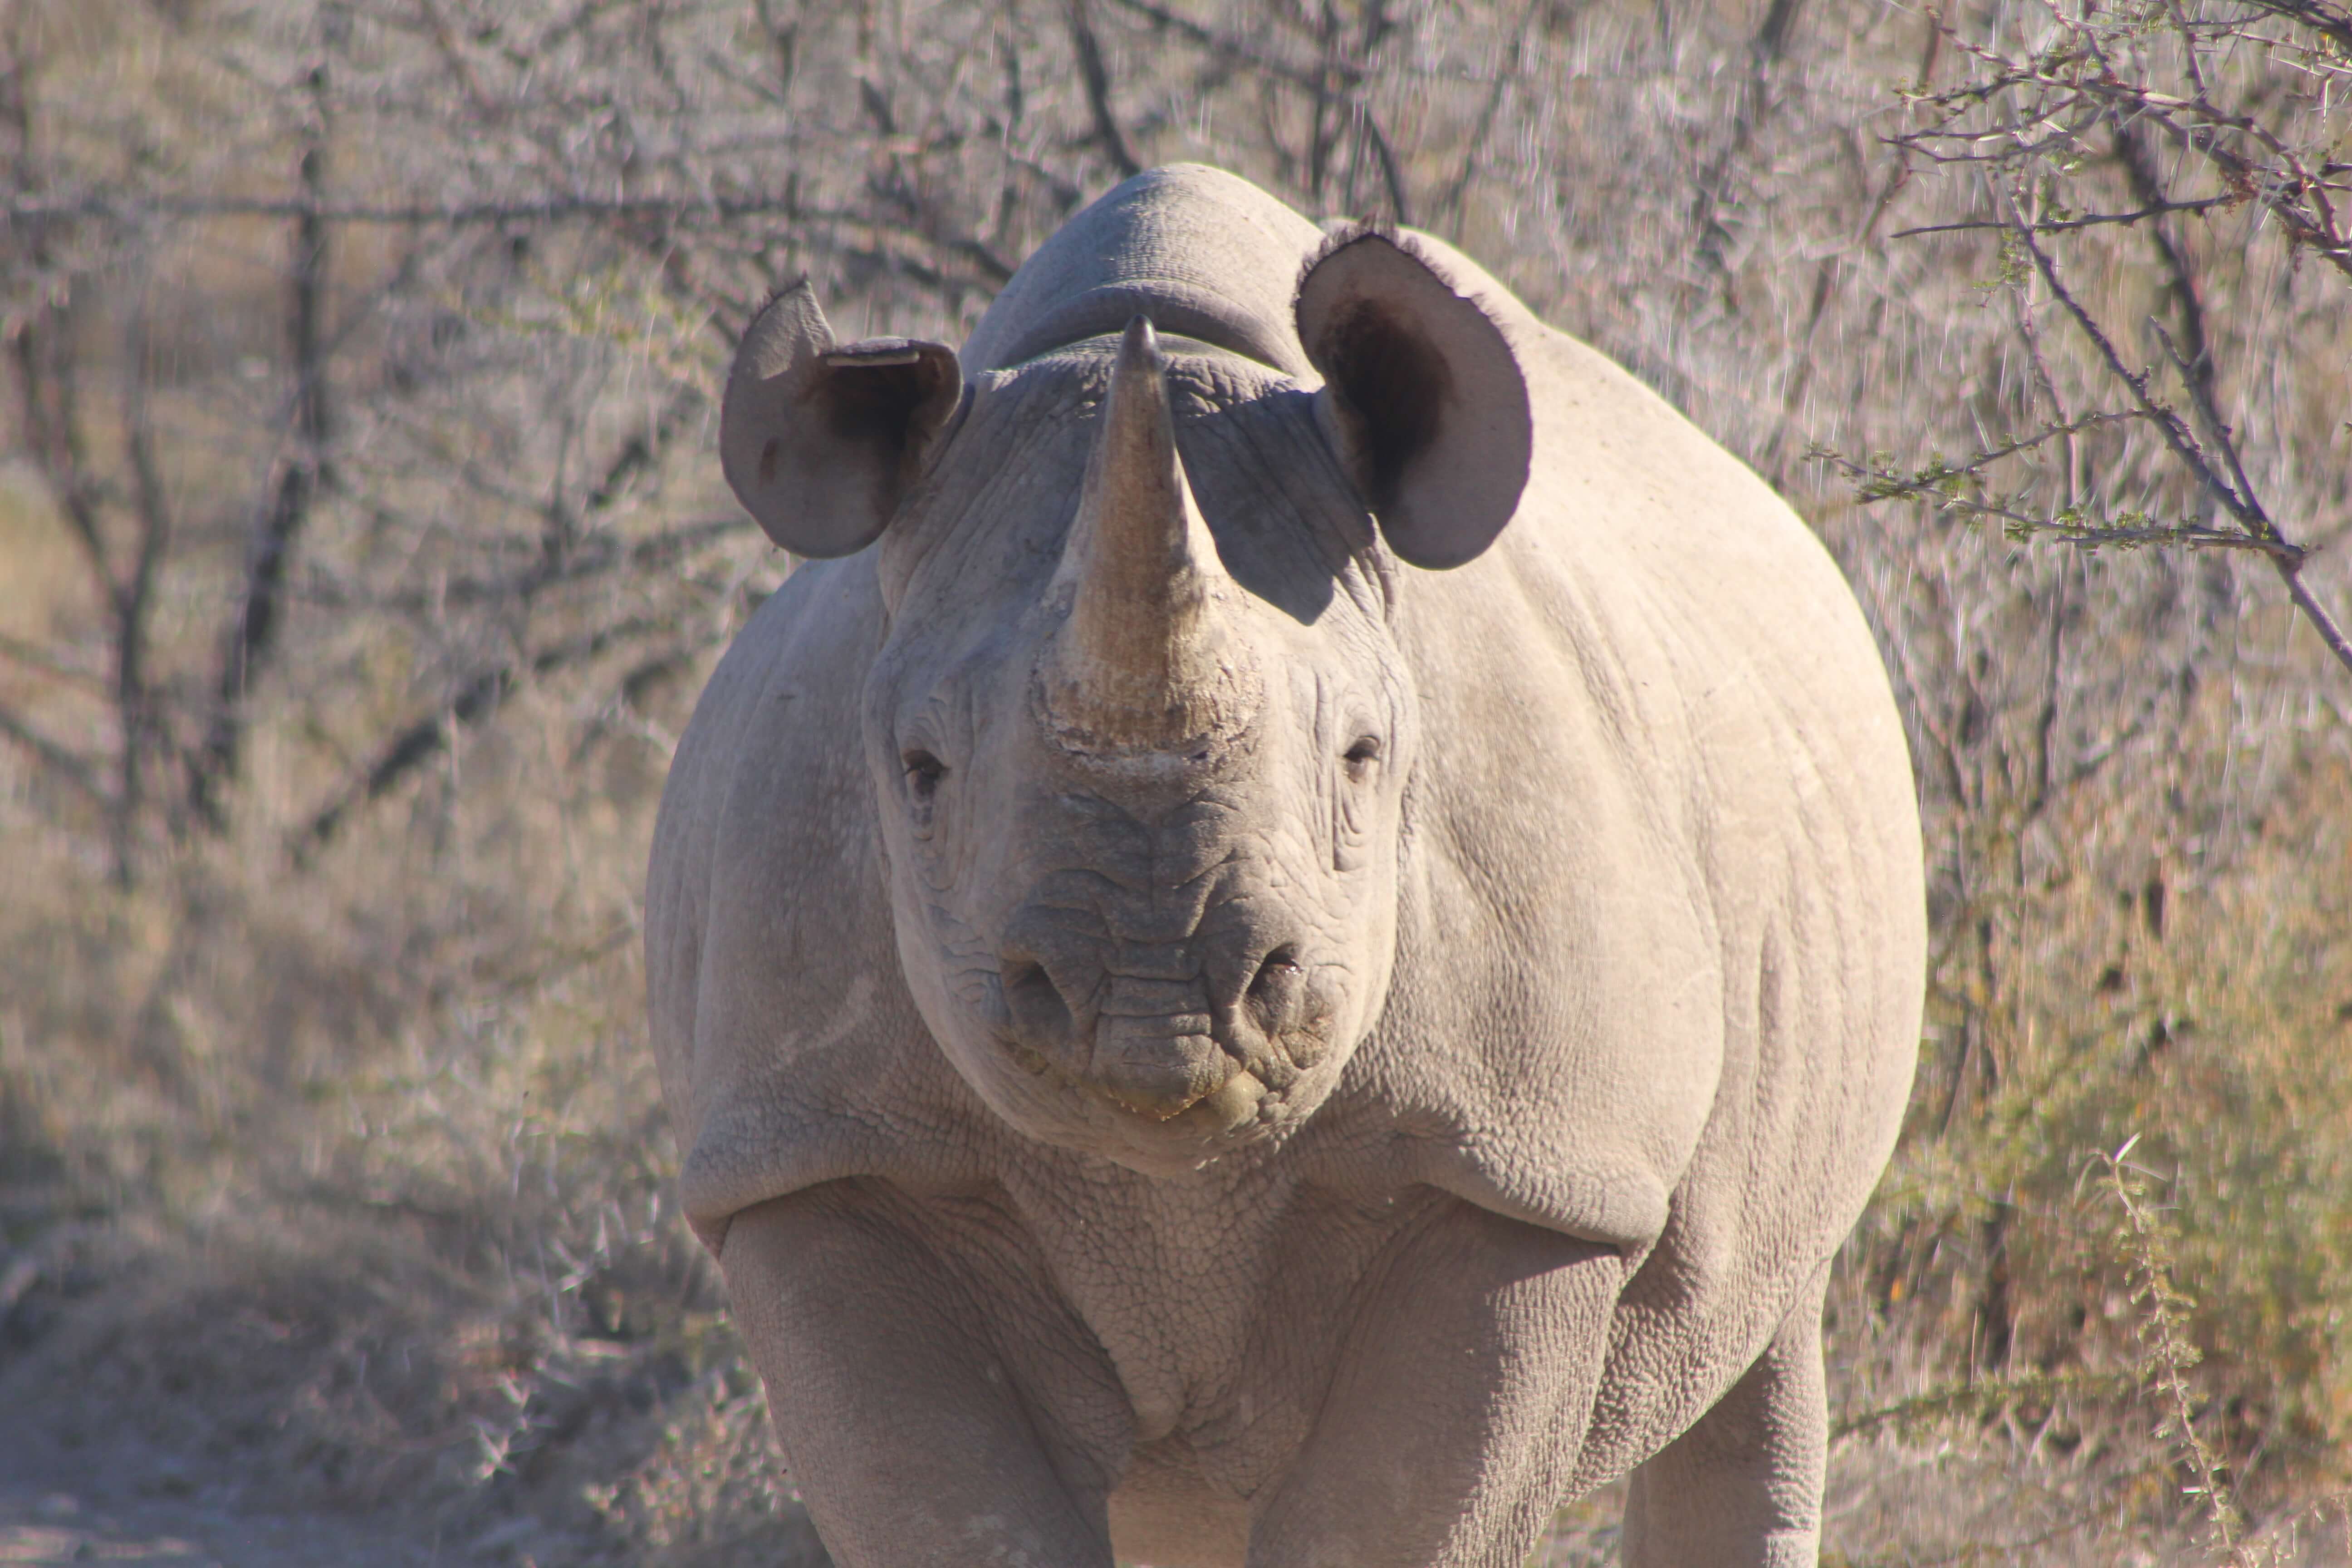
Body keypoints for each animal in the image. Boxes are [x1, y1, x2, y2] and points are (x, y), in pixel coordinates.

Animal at [646, 164, 1924, 1568]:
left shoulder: (1530, 1169)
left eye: (1364, 756)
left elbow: (1389, 1510)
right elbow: (958, 1508)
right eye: (918, 770)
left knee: (1766, 1331)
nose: (1150, 995)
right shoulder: (817, 1153)